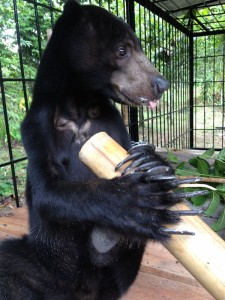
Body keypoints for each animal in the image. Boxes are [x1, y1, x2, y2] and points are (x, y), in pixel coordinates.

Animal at [0, 1, 202, 298]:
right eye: (122, 51)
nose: (162, 84)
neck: (80, 106)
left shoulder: (111, 121)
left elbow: (128, 149)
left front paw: (152, 162)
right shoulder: (36, 126)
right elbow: (47, 190)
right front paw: (135, 201)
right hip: (44, 260)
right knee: (10, 265)